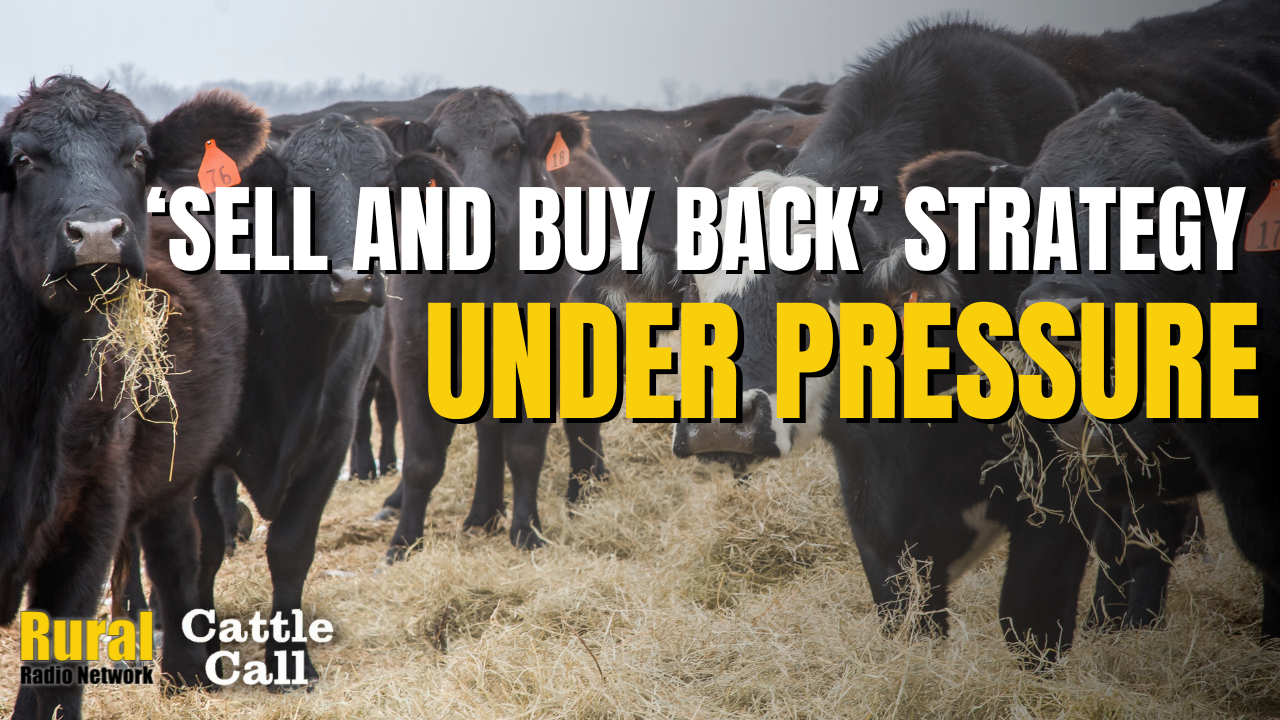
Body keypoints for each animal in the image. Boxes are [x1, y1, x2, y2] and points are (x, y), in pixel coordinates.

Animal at [0, 76, 266, 718]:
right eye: (23, 160)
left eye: (139, 155)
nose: (98, 234)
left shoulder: (89, 516)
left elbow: (54, 680)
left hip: (173, 481)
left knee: (177, 557)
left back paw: (186, 677)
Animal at [192, 113, 390, 685]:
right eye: (301, 189)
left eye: (386, 184)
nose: (351, 281)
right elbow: (203, 547)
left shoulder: (332, 441)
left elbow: (291, 549)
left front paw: (290, 662)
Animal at [381, 87, 618, 555]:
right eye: (440, 150)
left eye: (511, 147)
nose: (475, 214)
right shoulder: (411, 355)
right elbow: (421, 460)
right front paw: (403, 544)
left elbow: (525, 451)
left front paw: (527, 531)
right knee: (490, 430)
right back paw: (483, 512)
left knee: (582, 423)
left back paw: (584, 493)